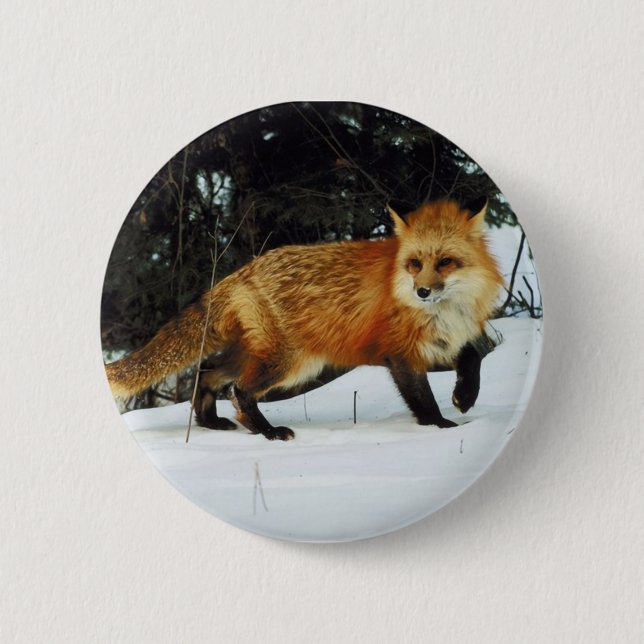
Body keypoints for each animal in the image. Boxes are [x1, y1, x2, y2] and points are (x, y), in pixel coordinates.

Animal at [105, 197, 504, 441]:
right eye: (415, 263)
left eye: (446, 262)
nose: (422, 291)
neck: (443, 312)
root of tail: (242, 271)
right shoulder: (400, 353)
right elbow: (423, 399)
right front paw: (441, 427)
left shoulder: (452, 338)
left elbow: (474, 356)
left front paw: (465, 396)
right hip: (290, 363)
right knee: (239, 390)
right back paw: (268, 432)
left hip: (255, 356)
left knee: (207, 372)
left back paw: (211, 424)